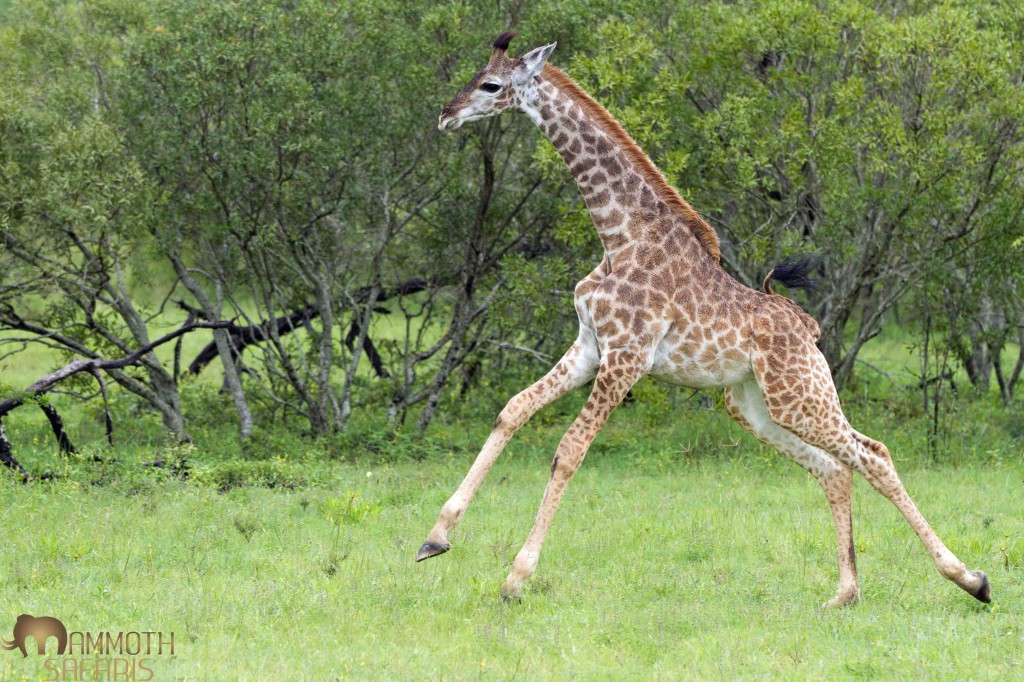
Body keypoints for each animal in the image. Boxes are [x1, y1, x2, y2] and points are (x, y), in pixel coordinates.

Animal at [418, 31, 991, 607]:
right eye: (476, 77)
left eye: (491, 85)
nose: (445, 114)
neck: (620, 237)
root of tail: (808, 328)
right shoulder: (589, 347)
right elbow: (511, 411)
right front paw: (436, 537)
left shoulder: (627, 357)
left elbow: (569, 450)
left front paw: (517, 576)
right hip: (757, 407)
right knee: (834, 469)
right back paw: (845, 592)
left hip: (801, 395)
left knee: (874, 454)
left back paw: (971, 579)